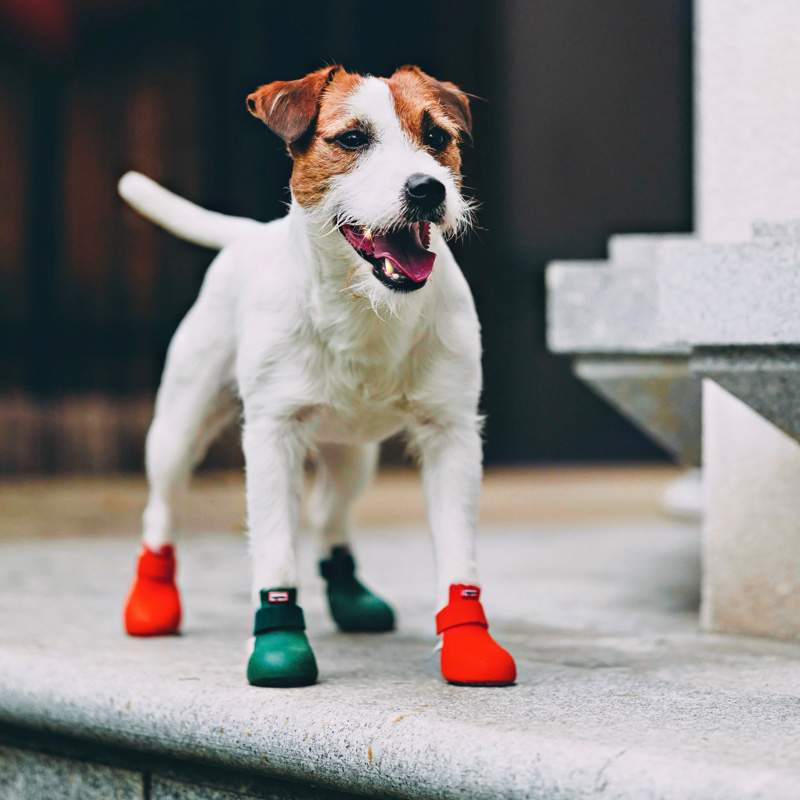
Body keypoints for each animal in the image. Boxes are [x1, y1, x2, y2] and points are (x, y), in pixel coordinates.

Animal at [119, 64, 520, 688]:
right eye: (352, 139)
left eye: (437, 137)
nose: (428, 189)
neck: (365, 310)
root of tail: (249, 233)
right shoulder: (271, 436)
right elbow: (276, 548)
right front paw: (278, 642)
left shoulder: (452, 436)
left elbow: (459, 551)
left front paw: (469, 643)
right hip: (178, 427)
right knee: (162, 508)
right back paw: (151, 601)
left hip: (353, 454)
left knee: (329, 516)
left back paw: (350, 594)